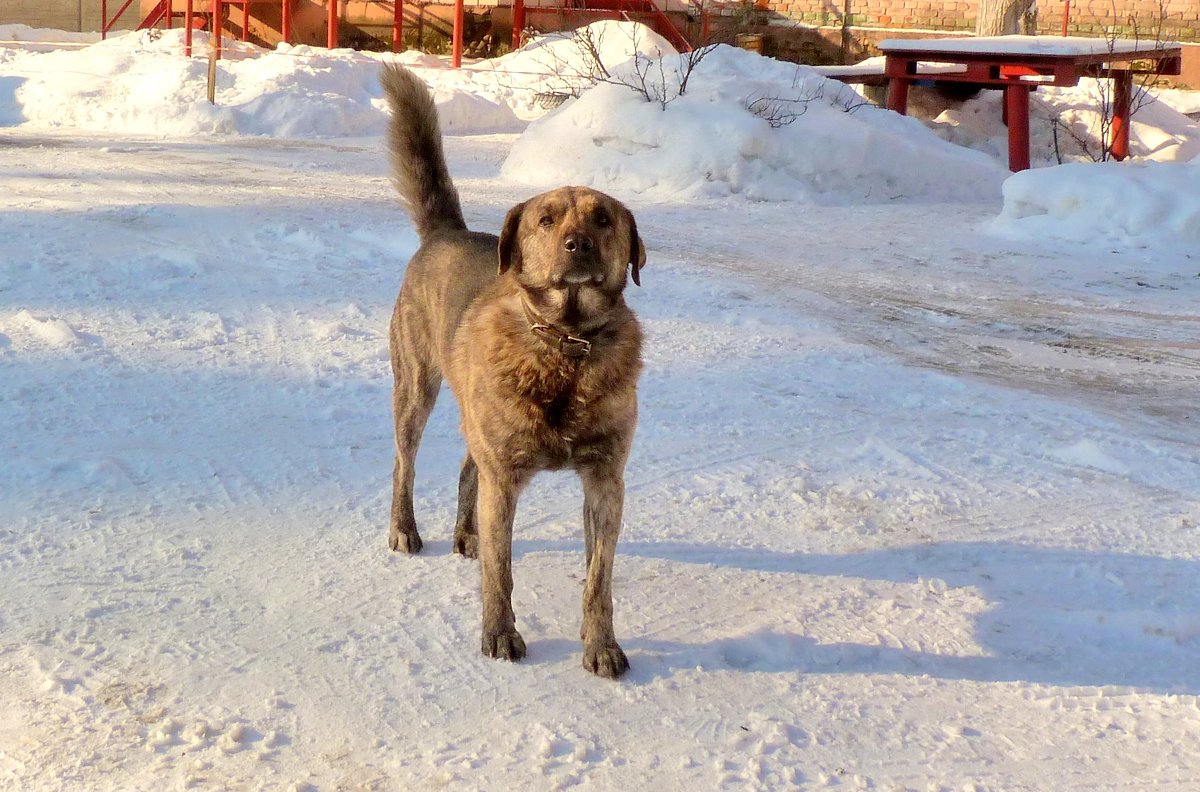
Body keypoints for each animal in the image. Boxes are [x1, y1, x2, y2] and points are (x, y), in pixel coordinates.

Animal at [384, 65, 648, 676]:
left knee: (466, 469)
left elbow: (599, 578)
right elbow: (500, 573)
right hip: (415, 388)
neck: (565, 348)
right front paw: (500, 634)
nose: (578, 244)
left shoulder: (605, 480)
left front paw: (602, 644)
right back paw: (405, 529)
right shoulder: (504, 476)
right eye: (546, 220)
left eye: (604, 219)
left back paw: (465, 532)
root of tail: (445, 232)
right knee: (405, 463)